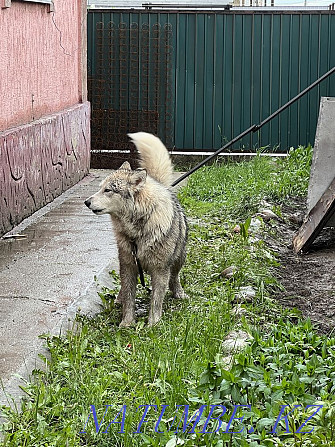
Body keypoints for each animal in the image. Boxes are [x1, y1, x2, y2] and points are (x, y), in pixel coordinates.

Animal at [85, 131, 188, 328]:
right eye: (100, 188)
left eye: (108, 190)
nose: (86, 202)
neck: (138, 231)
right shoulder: (128, 266)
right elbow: (129, 297)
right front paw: (127, 322)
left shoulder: (160, 270)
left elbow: (156, 299)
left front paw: (153, 323)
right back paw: (118, 299)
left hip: (179, 257)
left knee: (175, 276)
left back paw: (178, 292)